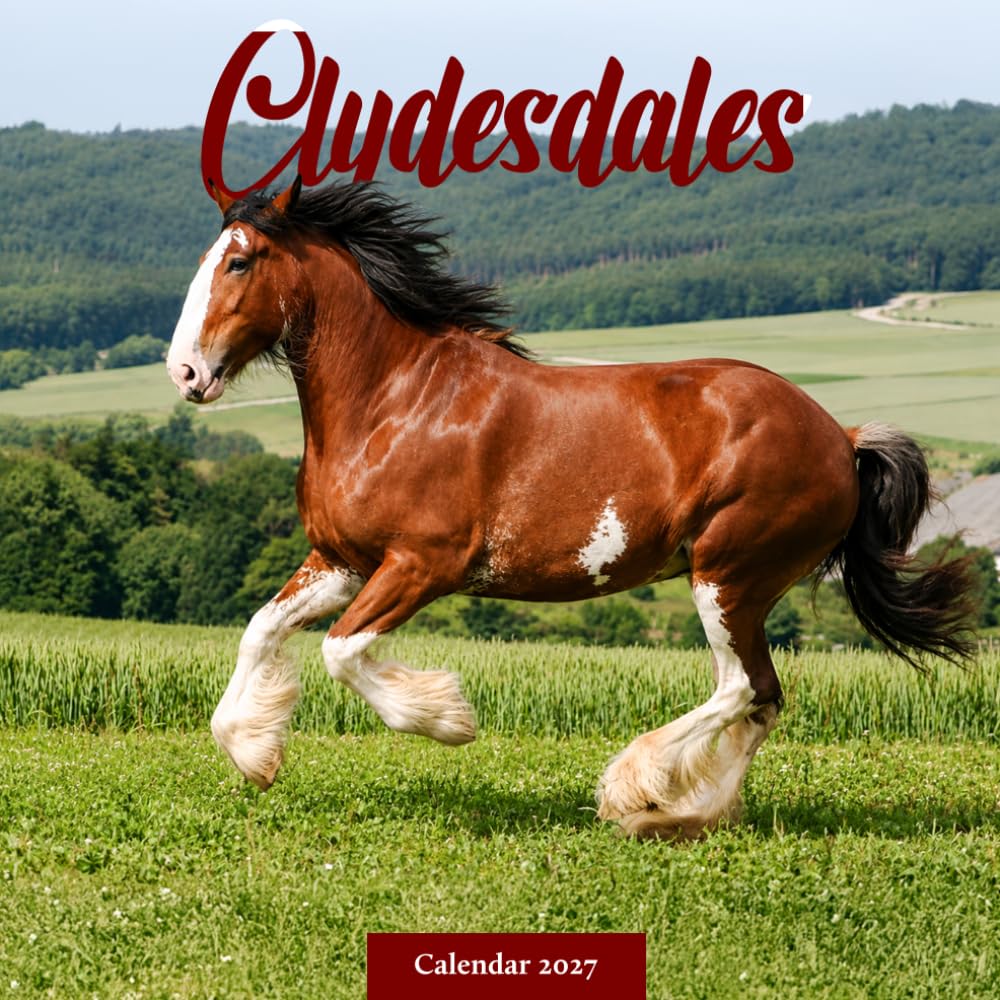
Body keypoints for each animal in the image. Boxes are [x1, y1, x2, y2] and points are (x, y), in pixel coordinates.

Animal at [166, 177, 976, 839]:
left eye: (239, 262)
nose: (185, 373)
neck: (395, 401)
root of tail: (840, 438)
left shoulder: (422, 565)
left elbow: (341, 651)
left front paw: (447, 719)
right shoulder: (341, 560)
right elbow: (260, 630)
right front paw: (254, 753)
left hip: (729, 576)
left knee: (742, 687)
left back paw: (634, 793)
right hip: (737, 584)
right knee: (763, 699)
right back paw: (685, 815)